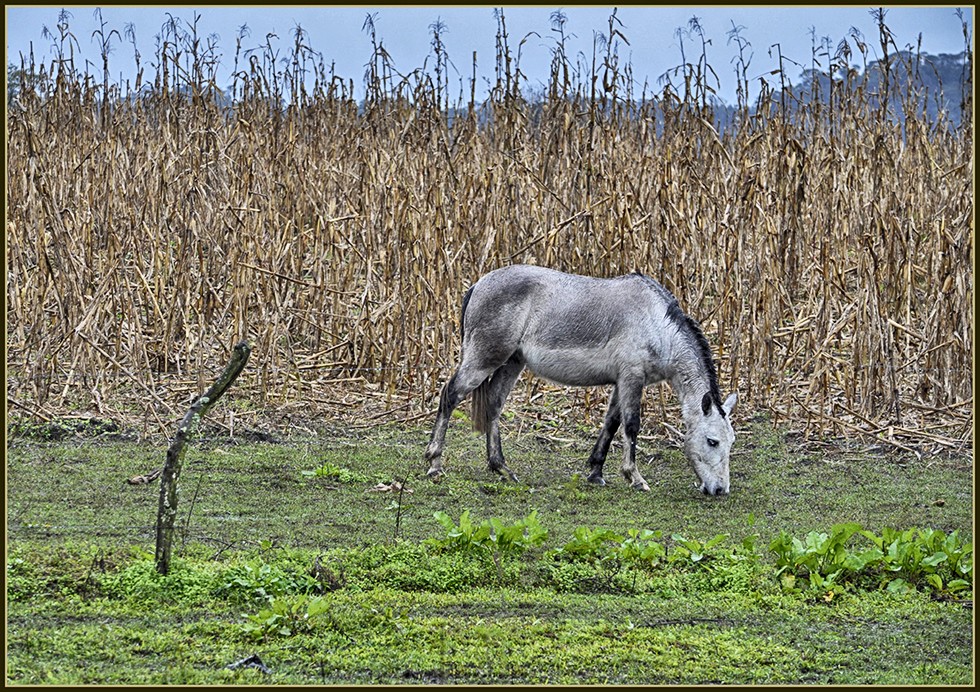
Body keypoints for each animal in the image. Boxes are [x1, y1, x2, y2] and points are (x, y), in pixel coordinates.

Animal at [424, 264, 740, 498]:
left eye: (730, 441)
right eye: (712, 441)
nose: (720, 490)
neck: (657, 324)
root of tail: (479, 284)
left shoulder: (621, 382)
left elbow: (611, 423)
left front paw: (596, 472)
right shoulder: (631, 378)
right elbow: (631, 426)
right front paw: (635, 477)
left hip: (511, 363)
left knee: (493, 405)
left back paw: (501, 467)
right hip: (483, 361)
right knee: (449, 396)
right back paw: (435, 464)